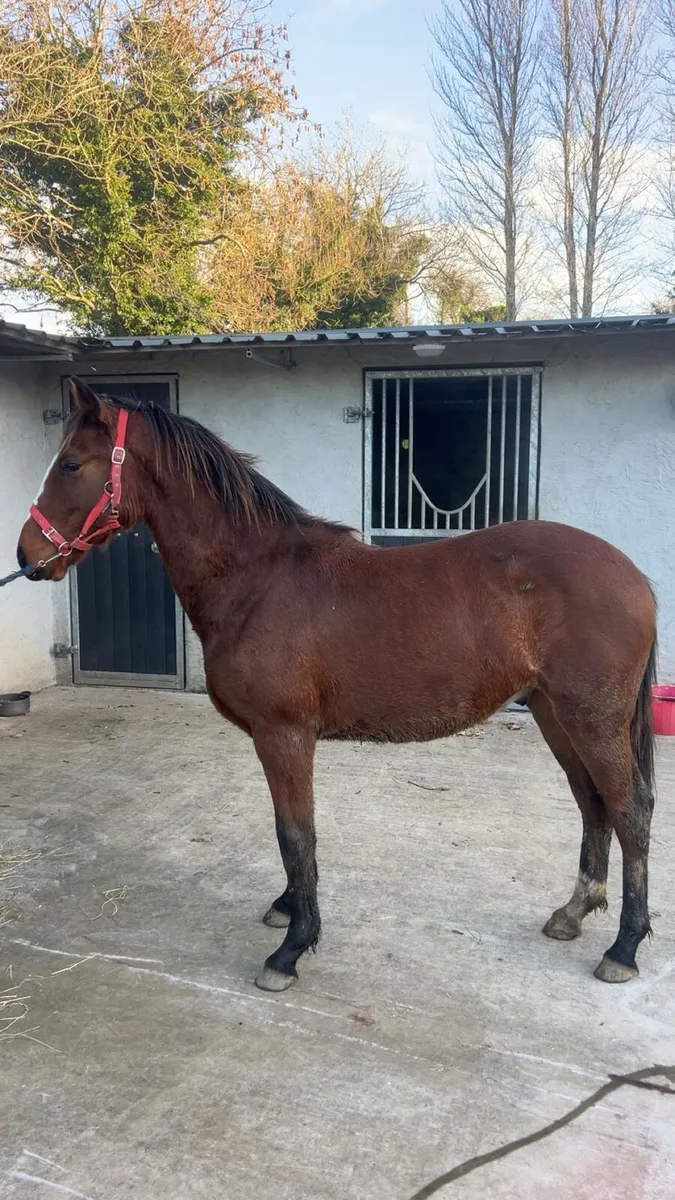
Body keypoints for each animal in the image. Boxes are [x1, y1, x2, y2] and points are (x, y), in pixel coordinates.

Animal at [17, 377, 657, 992]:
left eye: (70, 464)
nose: (27, 555)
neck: (258, 578)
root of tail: (633, 575)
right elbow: (291, 833)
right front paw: (287, 908)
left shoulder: (284, 734)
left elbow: (296, 835)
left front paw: (291, 949)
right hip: (555, 714)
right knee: (592, 803)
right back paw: (575, 912)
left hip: (592, 719)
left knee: (631, 810)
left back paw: (623, 948)